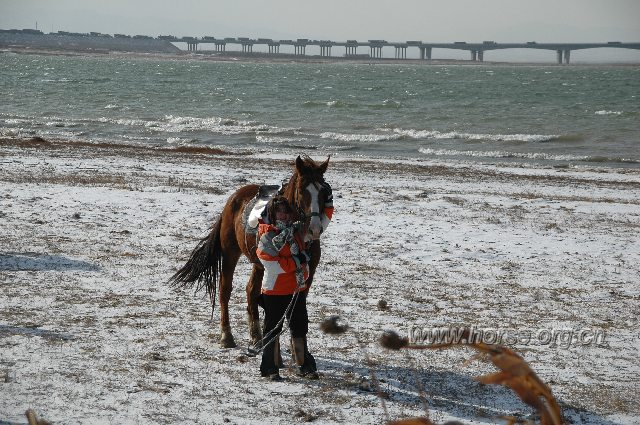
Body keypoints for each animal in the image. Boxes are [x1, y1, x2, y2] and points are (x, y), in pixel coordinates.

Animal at [170, 154, 330, 346]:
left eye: (323, 191)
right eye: (301, 190)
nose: (315, 228)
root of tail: (232, 200)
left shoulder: (308, 275)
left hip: (258, 264)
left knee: (251, 291)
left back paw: (255, 335)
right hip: (230, 254)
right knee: (225, 290)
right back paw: (227, 335)